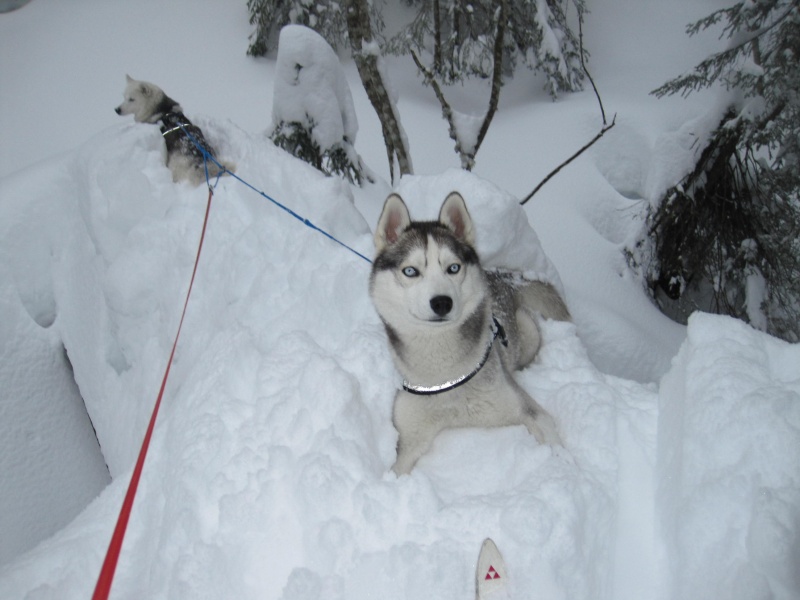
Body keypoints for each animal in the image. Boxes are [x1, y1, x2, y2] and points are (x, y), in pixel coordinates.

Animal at [372, 192, 572, 474]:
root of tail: (502, 275)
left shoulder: (527, 411)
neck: (446, 374)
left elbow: (554, 444)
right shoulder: (408, 438)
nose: (442, 302)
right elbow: (397, 471)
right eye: (410, 271)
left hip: (528, 331)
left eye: (453, 268)